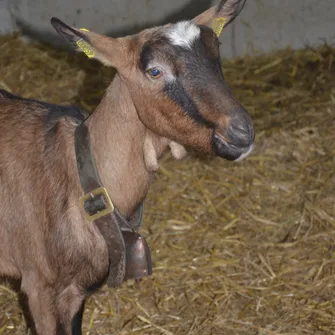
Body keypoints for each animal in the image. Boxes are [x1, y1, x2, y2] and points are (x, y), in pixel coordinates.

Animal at [0, 1, 252, 334]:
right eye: (155, 71)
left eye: (217, 52)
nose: (242, 132)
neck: (75, 173)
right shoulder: (38, 288)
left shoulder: (75, 294)